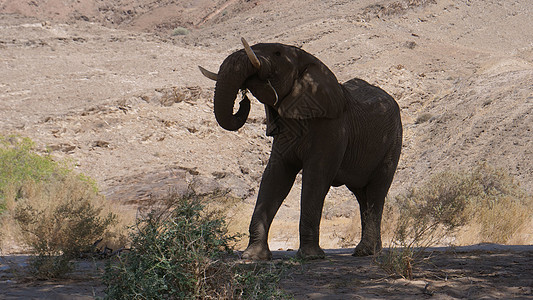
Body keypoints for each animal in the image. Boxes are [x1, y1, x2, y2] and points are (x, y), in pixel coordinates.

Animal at [198, 38, 400, 260]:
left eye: (277, 53)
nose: (244, 100)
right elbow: (275, 176)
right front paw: (253, 257)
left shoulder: (332, 127)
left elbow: (315, 177)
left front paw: (310, 256)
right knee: (362, 195)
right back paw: (369, 251)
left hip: (393, 143)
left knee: (376, 192)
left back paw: (366, 252)